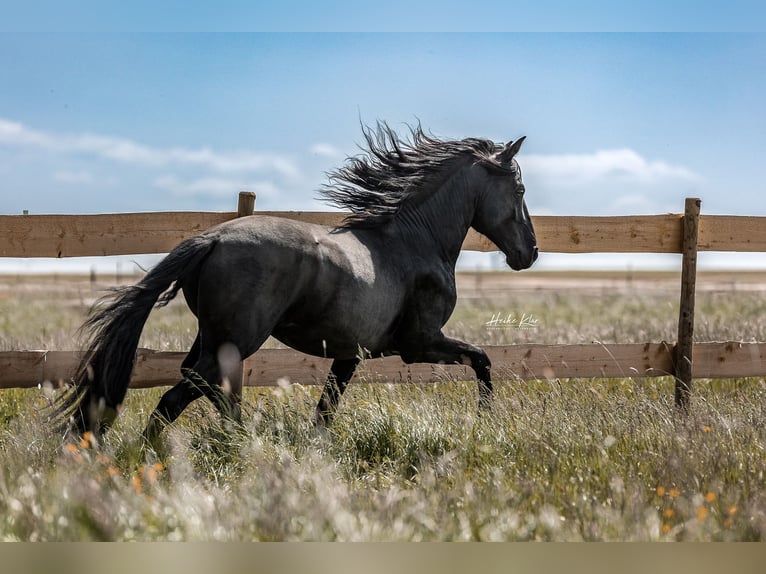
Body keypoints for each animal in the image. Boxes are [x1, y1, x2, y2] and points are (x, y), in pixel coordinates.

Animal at [51, 123, 538, 440]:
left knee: (204, 387)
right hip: (239, 338)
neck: (414, 241)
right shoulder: (419, 343)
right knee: (184, 395)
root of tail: (212, 239)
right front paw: (487, 421)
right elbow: (483, 360)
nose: (529, 253)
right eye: (519, 190)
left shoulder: (350, 353)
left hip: (213, 336)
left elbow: (327, 409)